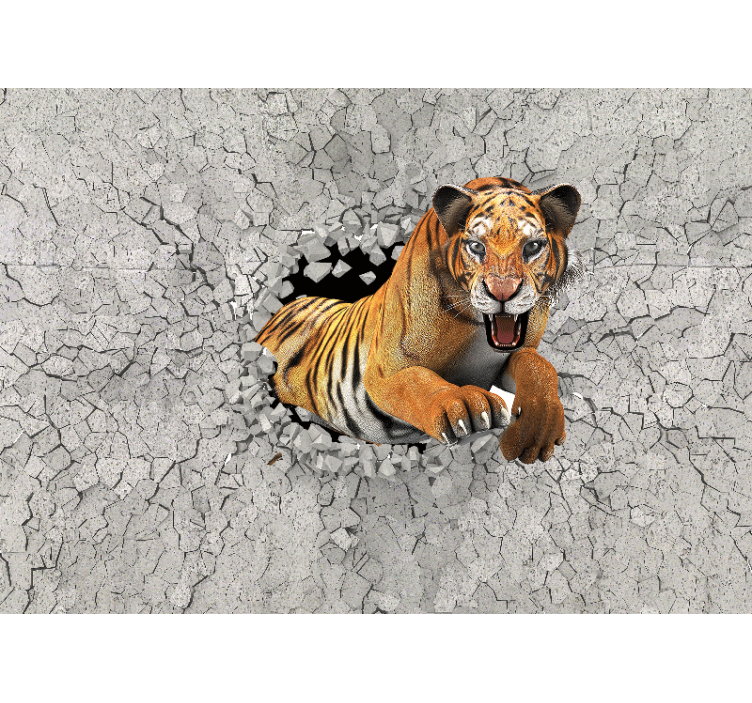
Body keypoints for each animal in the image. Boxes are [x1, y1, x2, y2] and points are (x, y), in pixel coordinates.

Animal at [255, 176, 582, 464]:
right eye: (477, 247)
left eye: (532, 247)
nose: (502, 291)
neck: (476, 328)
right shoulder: (387, 369)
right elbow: (418, 382)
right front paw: (465, 405)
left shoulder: (515, 354)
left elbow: (539, 367)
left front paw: (536, 431)